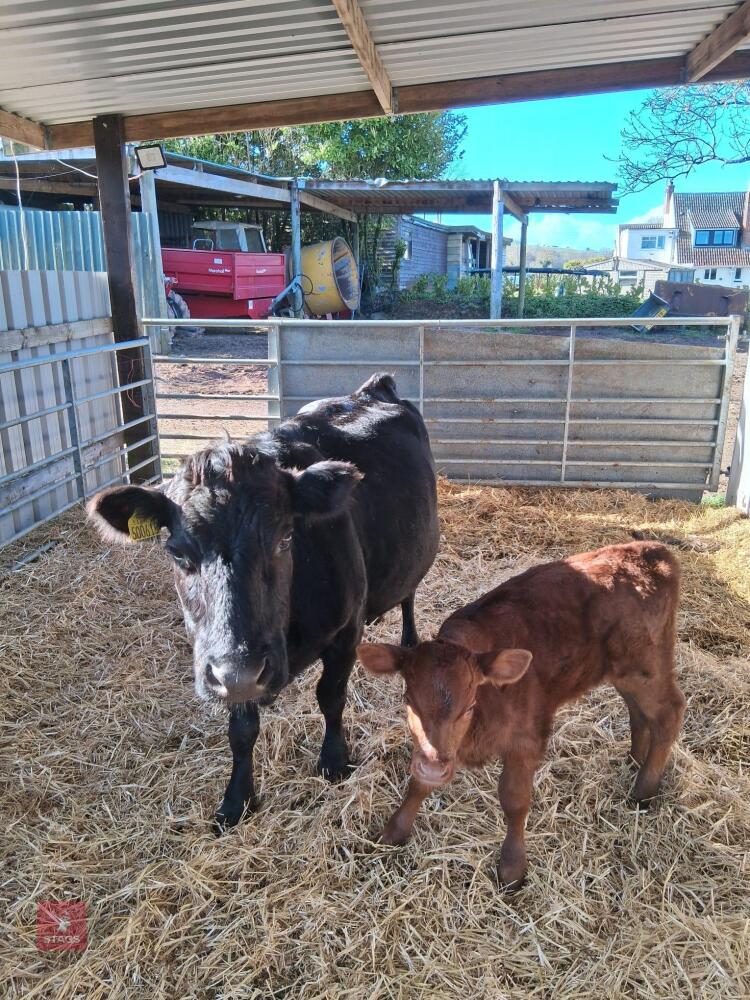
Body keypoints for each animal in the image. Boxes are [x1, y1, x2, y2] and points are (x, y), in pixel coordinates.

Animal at [87, 373, 439, 831]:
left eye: (285, 538)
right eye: (177, 552)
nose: (239, 672)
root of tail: (372, 387)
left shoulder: (345, 632)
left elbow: (331, 696)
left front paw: (334, 760)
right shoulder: (232, 668)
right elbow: (241, 730)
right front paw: (237, 798)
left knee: (409, 593)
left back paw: (410, 643)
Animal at [358, 541, 685, 889]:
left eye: (469, 705)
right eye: (408, 701)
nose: (434, 767)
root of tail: (649, 549)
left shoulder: (526, 739)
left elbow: (514, 800)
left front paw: (512, 868)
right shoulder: (436, 751)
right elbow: (418, 784)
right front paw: (394, 831)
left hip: (647, 666)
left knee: (668, 713)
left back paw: (644, 789)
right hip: (622, 673)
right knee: (638, 712)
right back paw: (634, 761)